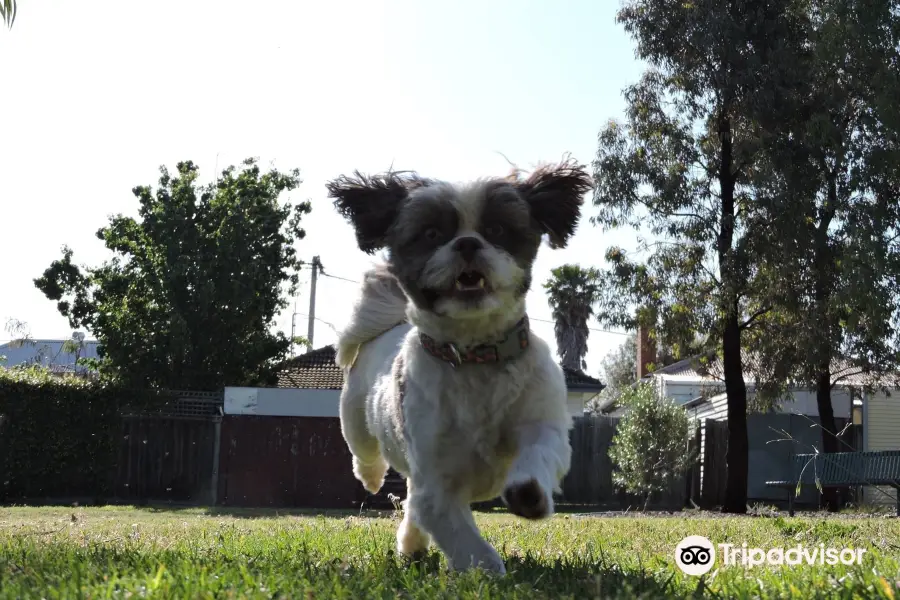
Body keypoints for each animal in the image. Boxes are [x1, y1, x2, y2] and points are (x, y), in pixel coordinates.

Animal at [326, 157, 596, 576]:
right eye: (432, 233)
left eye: (497, 230)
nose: (467, 243)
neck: (474, 355)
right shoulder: (437, 482)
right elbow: (462, 536)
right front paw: (488, 571)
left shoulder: (542, 422)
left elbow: (538, 452)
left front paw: (528, 493)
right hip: (354, 416)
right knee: (365, 453)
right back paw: (372, 481)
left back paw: (412, 545)